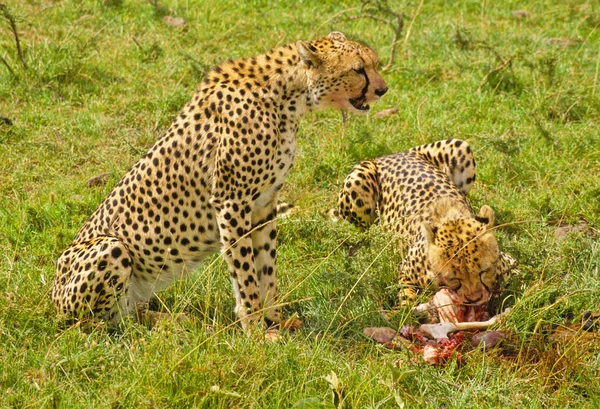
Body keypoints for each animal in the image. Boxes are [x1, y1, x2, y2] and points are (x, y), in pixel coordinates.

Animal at [52, 33, 390, 330]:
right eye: (358, 69)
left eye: (374, 64)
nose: (383, 90)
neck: (288, 96)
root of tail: (52, 296)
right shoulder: (232, 202)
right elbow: (245, 273)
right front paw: (256, 329)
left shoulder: (264, 203)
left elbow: (266, 266)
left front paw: (274, 319)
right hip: (110, 248)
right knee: (95, 324)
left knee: (128, 315)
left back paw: (173, 321)